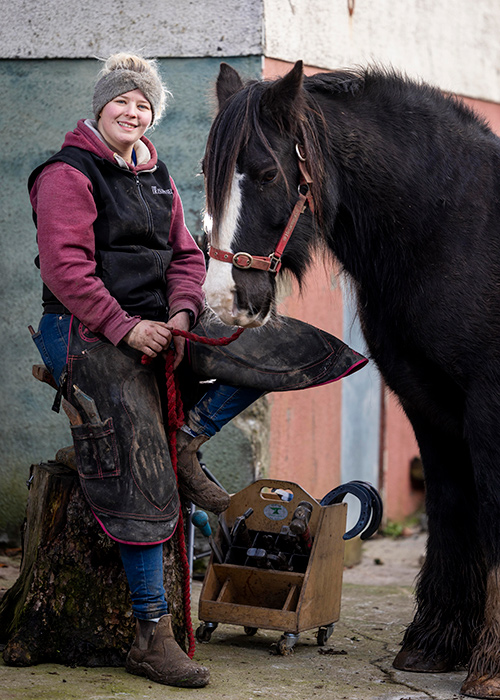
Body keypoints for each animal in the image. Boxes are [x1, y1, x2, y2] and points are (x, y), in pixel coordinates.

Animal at [201, 61, 500, 698]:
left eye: (267, 173)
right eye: (210, 176)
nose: (222, 300)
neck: (458, 228)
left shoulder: (489, 406)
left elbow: (491, 513)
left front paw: (488, 666)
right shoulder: (428, 404)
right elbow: (451, 508)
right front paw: (434, 643)